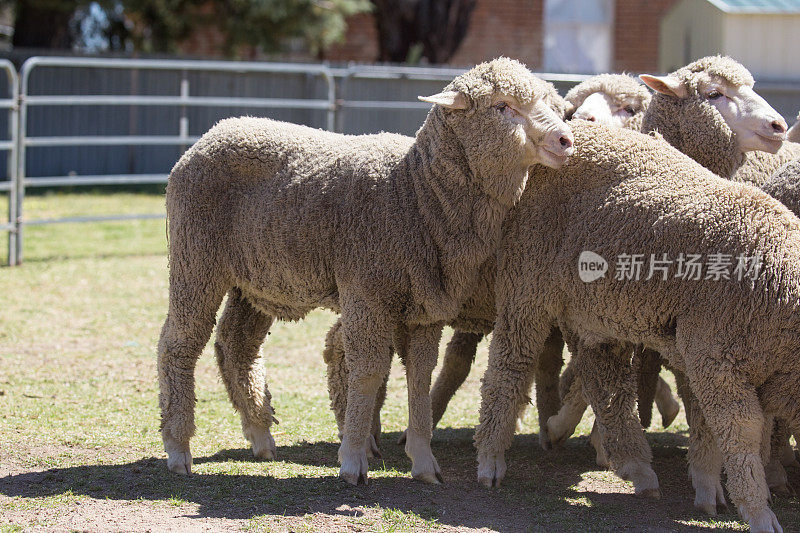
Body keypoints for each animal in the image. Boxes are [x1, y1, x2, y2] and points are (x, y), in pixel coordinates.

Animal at [155, 56, 576, 484]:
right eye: (502, 106)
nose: (565, 140)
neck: (416, 193)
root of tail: (213, 132)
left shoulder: (426, 307)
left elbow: (420, 379)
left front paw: (423, 460)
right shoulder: (366, 293)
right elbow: (368, 373)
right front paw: (354, 458)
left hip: (258, 280)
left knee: (237, 344)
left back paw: (260, 436)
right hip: (196, 259)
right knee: (178, 344)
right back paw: (178, 446)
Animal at [478, 118, 800, 528]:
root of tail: (570, 130)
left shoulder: (709, 359)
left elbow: (714, 427)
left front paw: (709, 486)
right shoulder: (716, 361)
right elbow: (741, 434)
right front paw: (758, 512)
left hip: (597, 311)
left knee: (603, 378)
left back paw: (635, 465)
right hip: (526, 281)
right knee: (509, 366)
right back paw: (491, 459)